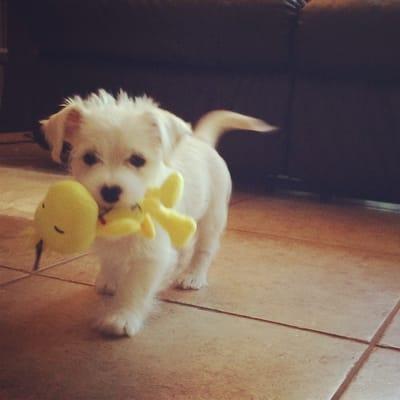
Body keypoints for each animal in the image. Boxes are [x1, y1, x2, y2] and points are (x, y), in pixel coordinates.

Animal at [41, 89, 276, 336]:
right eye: (89, 158)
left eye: (137, 160)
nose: (110, 191)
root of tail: (201, 140)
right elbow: (110, 257)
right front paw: (110, 278)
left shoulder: (150, 254)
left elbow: (135, 287)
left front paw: (122, 316)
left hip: (212, 218)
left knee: (204, 250)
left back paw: (193, 276)